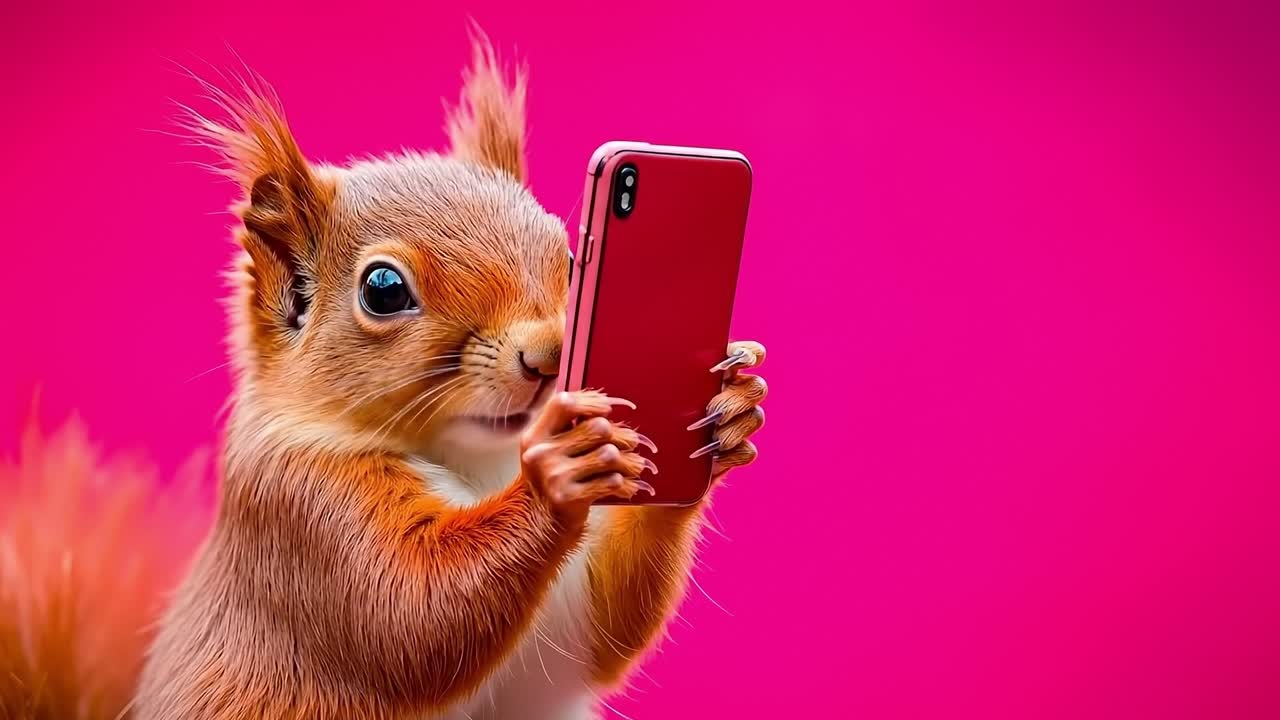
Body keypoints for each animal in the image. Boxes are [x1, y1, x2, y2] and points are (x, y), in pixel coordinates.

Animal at [3, 34, 767, 720]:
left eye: (568, 251)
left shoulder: (552, 642)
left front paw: (727, 414)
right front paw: (560, 469)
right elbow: (416, 615)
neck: (480, 465)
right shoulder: (304, 517)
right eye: (383, 289)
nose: (549, 357)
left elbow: (596, 635)